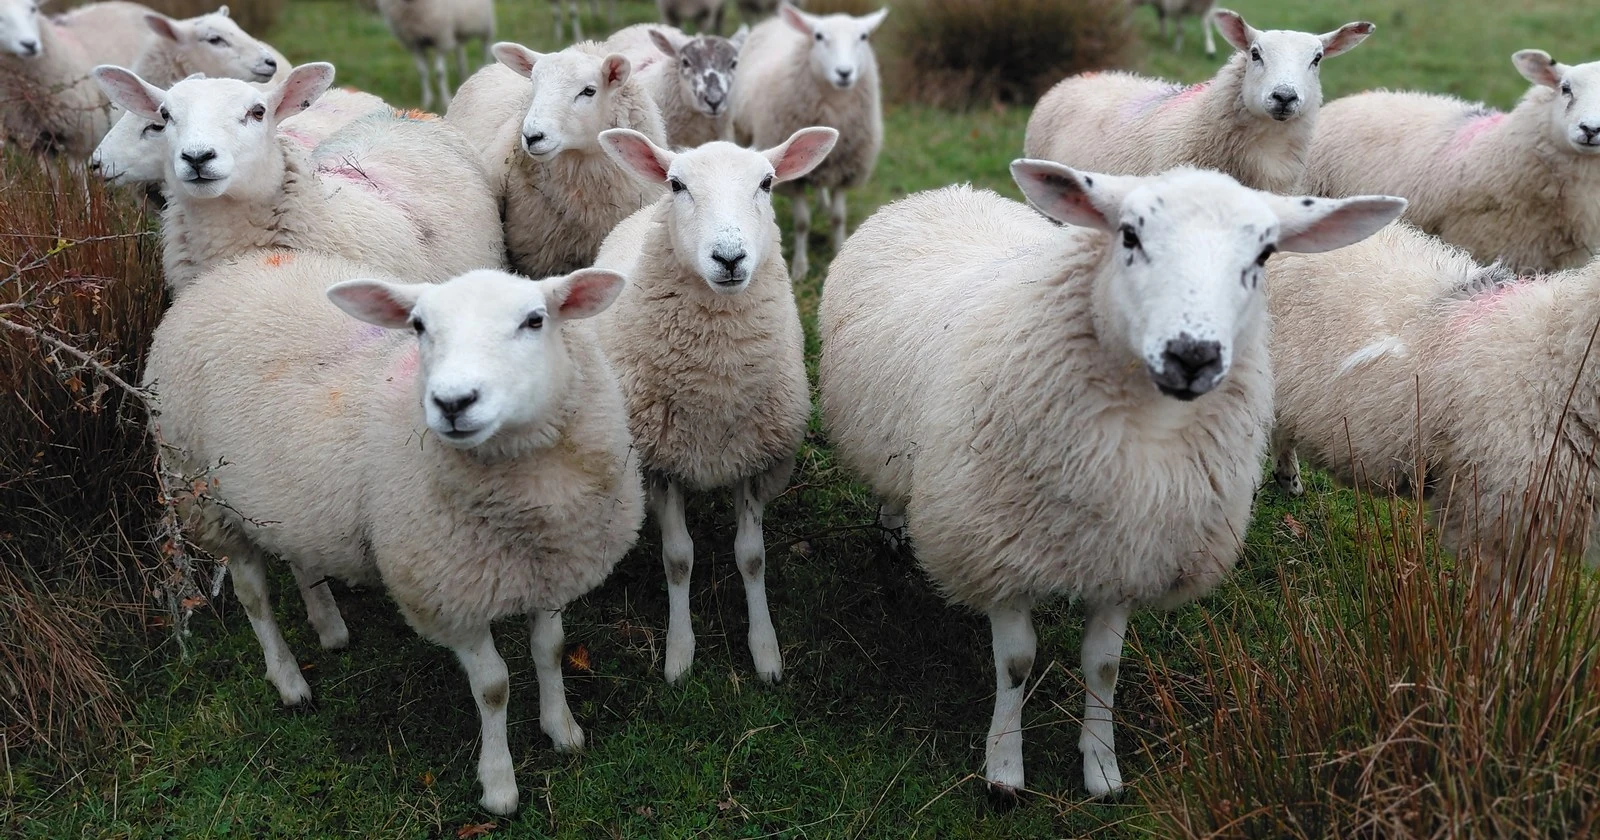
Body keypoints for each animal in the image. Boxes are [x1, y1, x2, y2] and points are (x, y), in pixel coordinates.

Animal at [142, 258, 643, 815]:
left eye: (535, 320)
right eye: (419, 326)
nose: (452, 402)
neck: (531, 505)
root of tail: (223, 273)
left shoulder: (552, 568)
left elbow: (550, 650)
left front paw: (562, 729)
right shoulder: (447, 591)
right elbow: (493, 687)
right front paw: (498, 784)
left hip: (292, 500)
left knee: (302, 556)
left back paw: (329, 627)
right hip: (204, 494)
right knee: (254, 596)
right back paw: (289, 680)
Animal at [591, 125, 838, 683]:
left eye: (767, 183)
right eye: (678, 184)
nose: (729, 257)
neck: (715, 387)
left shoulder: (755, 459)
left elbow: (751, 557)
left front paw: (765, 650)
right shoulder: (660, 463)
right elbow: (679, 557)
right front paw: (679, 654)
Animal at [732, 2, 887, 281]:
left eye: (863, 37)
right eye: (819, 37)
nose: (844, 73)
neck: (836, 105)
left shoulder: (845, 169)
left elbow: (838, 218)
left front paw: (838, 251)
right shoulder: (796, 182)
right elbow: (802, 223)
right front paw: (800, 268)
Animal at [817, 161, 1405, 796]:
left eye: (1265, 253)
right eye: (1129, 235)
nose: (1192, 353)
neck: (1147, 431)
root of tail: (947, 192)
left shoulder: (1129, 555)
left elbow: (1103, 665)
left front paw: (1101, 767)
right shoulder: (995, 550)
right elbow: (1016, 664)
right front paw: (1004, 769)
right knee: (890, 483)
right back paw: (892, 528)